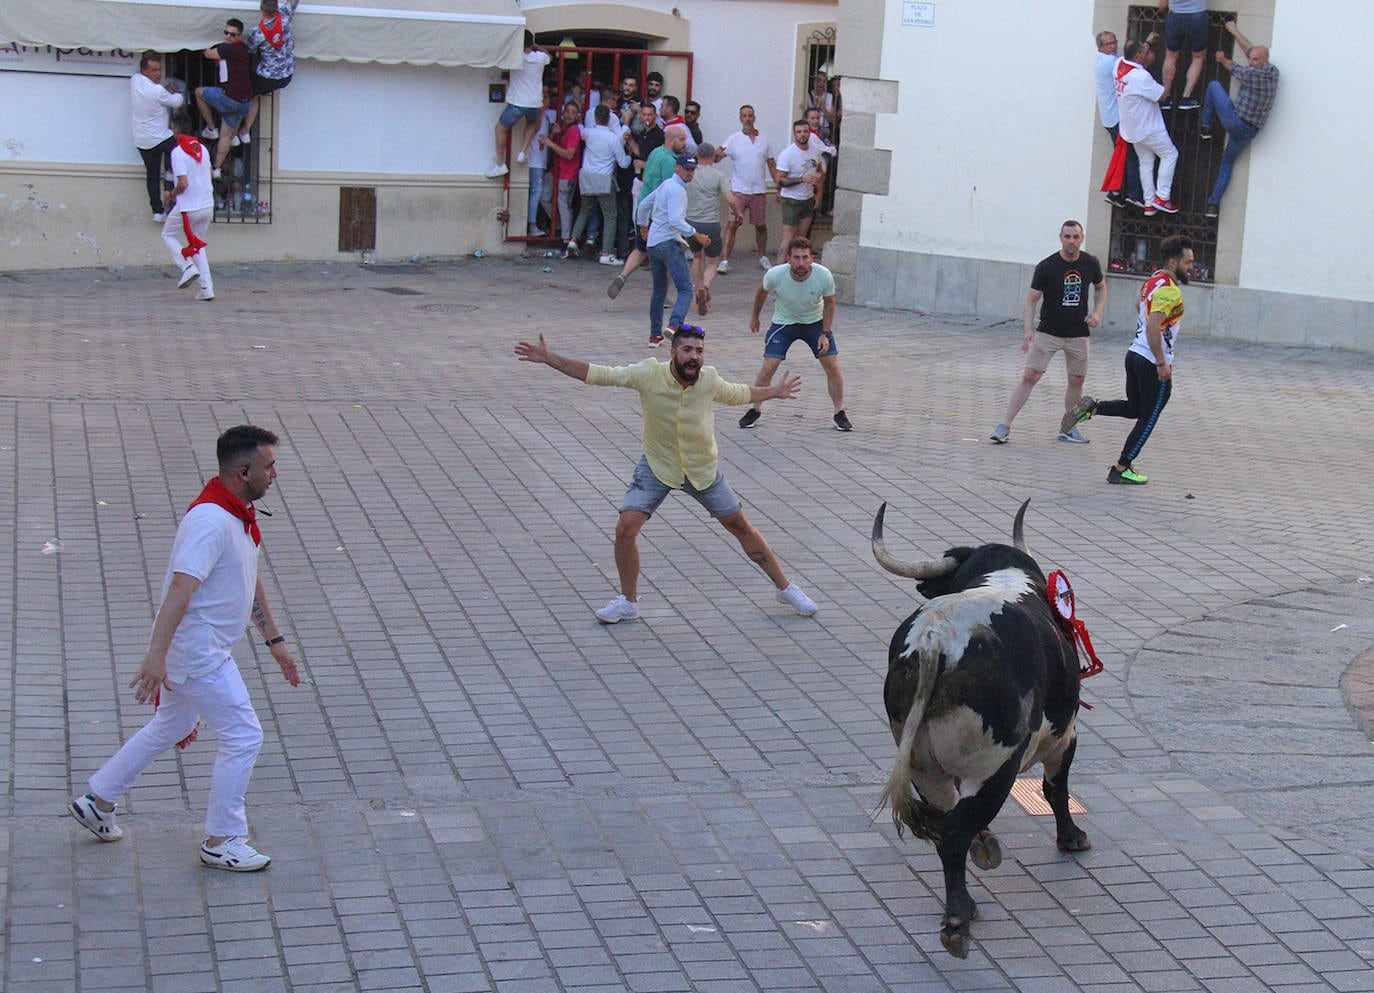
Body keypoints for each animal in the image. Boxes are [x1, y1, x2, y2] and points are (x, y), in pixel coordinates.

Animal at [873, 499, 1088, 961]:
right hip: (994, 767)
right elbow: (1056, 788)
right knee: (956, 831)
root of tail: (935, 639)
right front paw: (1071, 837)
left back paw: (965, 902)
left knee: (945, 825)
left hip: (924, 769)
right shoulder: (1065, 735)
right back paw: (957, 923)